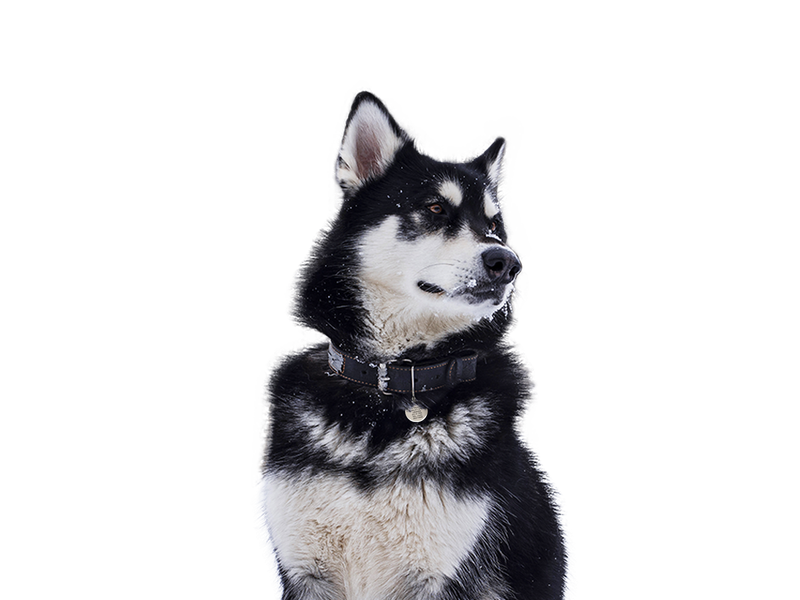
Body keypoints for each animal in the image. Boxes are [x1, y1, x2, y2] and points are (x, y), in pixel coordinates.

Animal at [253, 90, 572, 600]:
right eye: (436, 209)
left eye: (495, 224)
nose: (507, 262)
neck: (391, 383)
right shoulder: (306, 571)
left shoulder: (440, 575)